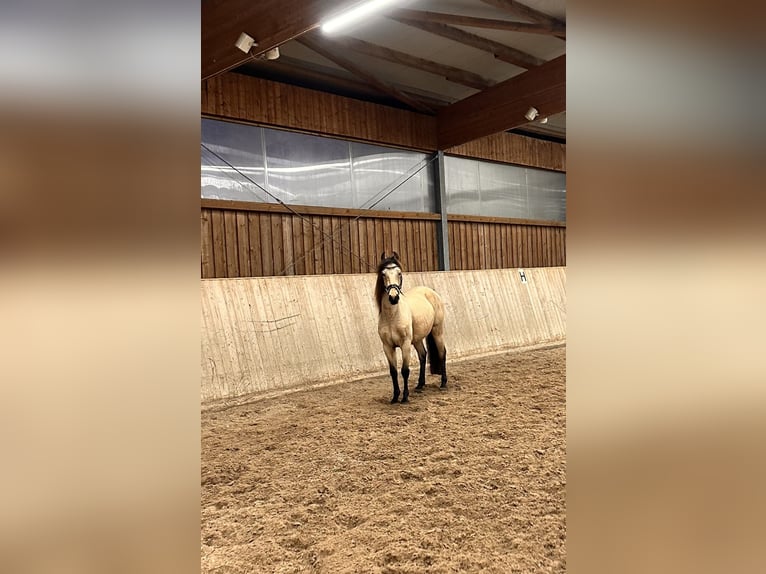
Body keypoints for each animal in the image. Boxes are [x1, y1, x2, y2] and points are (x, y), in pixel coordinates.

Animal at [375, 252, 447, 403]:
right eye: (383, 274)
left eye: (399, 273)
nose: (393, 298)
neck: (392, 316)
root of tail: (430, 291)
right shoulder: (387, 347)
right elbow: (393, 371)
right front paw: (395, 397)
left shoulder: (405, 344)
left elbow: (404, 370)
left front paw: (405, 397)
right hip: (417, 339)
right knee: (423, 355)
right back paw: (420, 385)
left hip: (437, 331)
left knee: (442, 353)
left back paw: (443, 383)